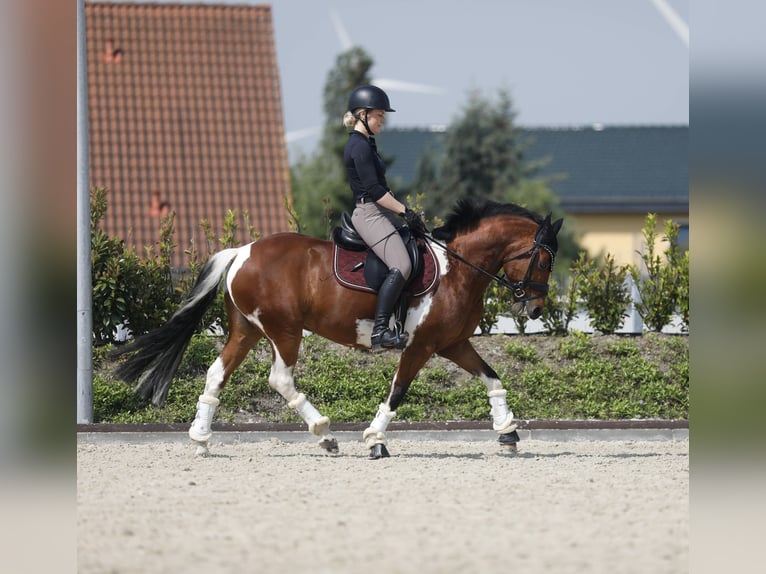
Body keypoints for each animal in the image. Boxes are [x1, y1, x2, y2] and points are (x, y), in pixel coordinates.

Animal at [117, 200, 568, 462]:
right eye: (545, 260)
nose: (534, 307)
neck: (458, 267)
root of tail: (242, 251)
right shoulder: (420, 346)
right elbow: (397, 392)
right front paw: (375, 440)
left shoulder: (452, 343)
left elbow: (493, 379)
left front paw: (508, 432)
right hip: (284, 330)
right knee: (280, 378)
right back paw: (324, 434)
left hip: (247, 329)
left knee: (217, 373)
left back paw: (200, 436)